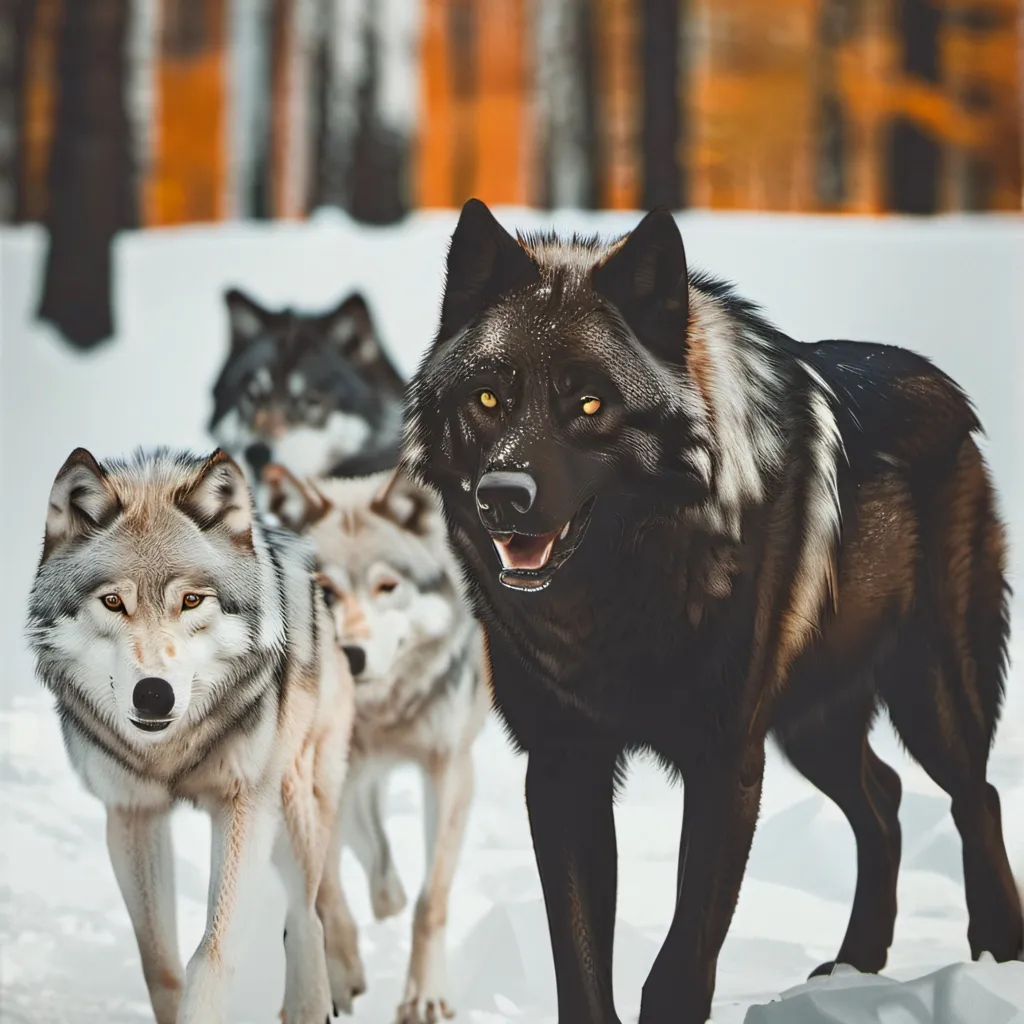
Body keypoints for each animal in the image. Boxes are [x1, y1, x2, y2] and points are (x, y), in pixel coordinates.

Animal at [25, 447, 360, 1024]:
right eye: (113, 602)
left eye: (190, 602)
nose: (153, 696)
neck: (169, 753)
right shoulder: (132, 814)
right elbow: (158, 963)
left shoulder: (244, 804)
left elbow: (214, 951)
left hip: (291, 796)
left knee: (306, 910)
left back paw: (313, 1002)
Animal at [264, 462, 489, 1024]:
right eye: (322, 589)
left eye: (388, 586)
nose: (353, 655)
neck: (381, 712)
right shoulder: (320, 776)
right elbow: (326, 892)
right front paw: (340, 977)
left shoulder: (450, 768)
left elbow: (431, 901)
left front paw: (425, 997)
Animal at [400, 199, 1024, 1023]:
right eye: (488, 399)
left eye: (589, 404)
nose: (503, 496)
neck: (617, 601)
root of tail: (940, 384)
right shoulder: (564, 765)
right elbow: (580, 965)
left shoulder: (726, 760)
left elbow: (682, 957)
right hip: (812, 724)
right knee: (885, 799)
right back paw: (856, 964)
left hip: (930, 693)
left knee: (975, 795)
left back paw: (995, 953)